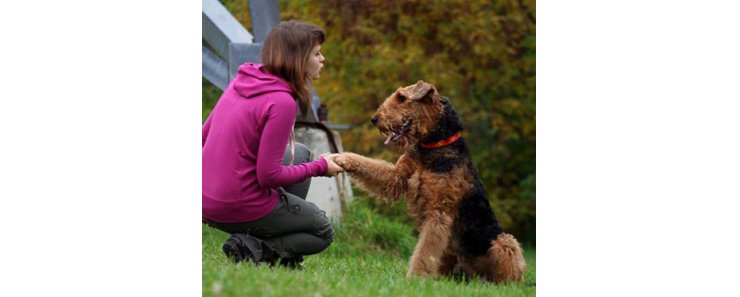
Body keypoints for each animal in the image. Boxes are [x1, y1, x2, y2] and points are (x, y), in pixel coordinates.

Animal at [336, 80, 528, 282]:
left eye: (402, 98)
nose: (374, 119)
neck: (434, 145)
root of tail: (470, 275)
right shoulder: (397, 176)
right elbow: (371, 166)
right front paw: (341, 158)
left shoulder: (439, 211)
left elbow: (425, 250)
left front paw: (415, 278)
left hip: (505, 241)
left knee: (508, 275)